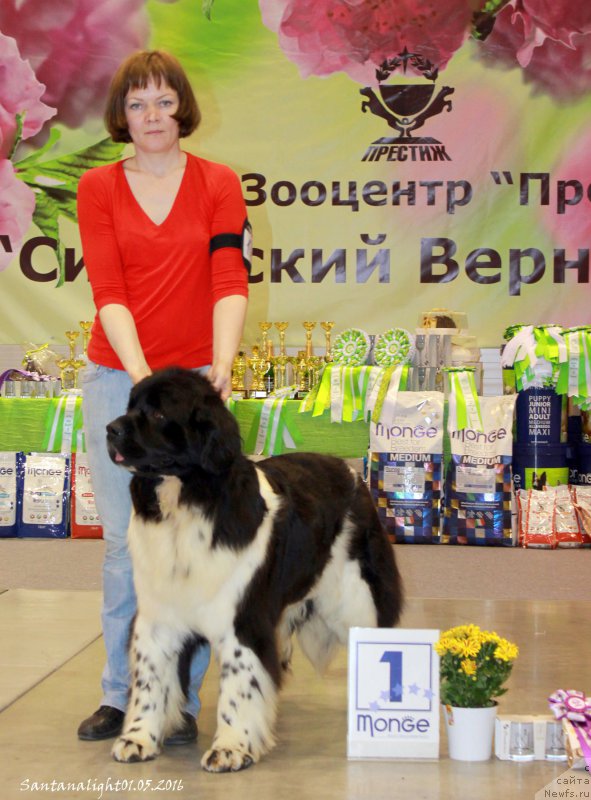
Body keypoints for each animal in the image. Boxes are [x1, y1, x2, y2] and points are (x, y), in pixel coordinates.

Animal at [106, 368, 402, 768]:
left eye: (157, 413)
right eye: (130, 407)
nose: (110, 429)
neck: (187, 501)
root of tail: (350, 471)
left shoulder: (242, 619)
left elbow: (239, 683)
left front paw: (231, 747)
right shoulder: (157, 616)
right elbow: (150, 680)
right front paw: (138, 738)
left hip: (358, 599)